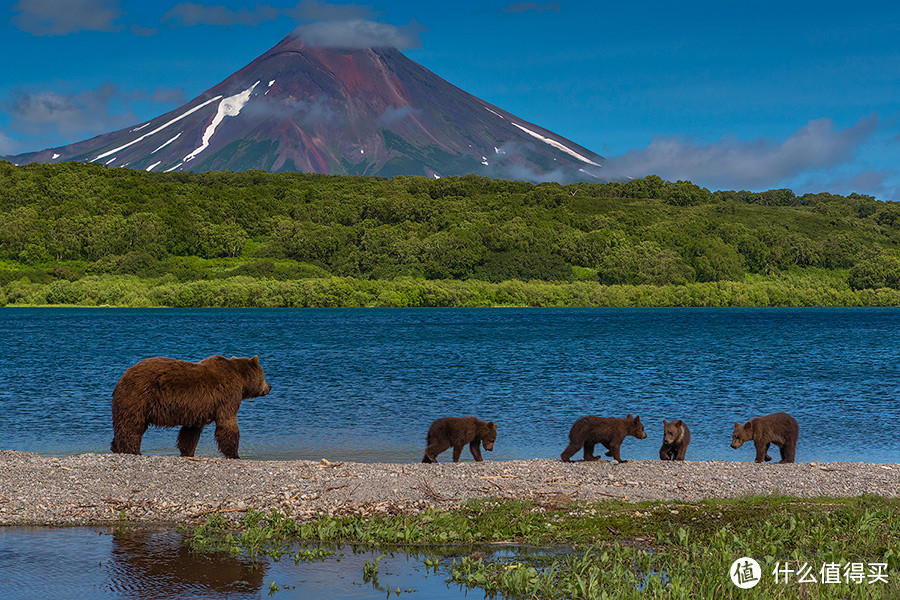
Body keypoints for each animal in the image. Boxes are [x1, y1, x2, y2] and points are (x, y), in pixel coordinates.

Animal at [110, 354, 270, 458]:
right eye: (264, 376)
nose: (269, 387)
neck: (241, 380)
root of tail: (122, 377)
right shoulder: (227, 397)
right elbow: (227, 424)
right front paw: (234, 454)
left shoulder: (196, 409)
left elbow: (190, 433)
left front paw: (187, 452)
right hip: (138, 397)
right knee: (132, 426)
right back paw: (132, 450)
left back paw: (116, 447)